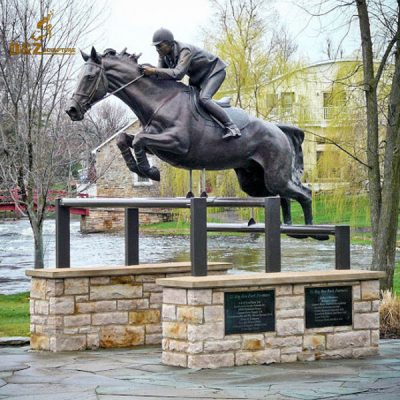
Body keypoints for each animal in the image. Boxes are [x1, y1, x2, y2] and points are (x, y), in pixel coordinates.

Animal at [65, 47, 316, 228]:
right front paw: (140, 168)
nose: (72, 110)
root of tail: (278, 129)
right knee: (282, 197)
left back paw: (309, 228)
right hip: (253, 181)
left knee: (304, 193)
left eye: (89, 77)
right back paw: (292, 227)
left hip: (275, 176)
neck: (159, 101)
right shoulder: (157, 144)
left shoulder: (177, 144)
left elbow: (138, 140)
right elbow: (124, 140)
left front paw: (150, 172)